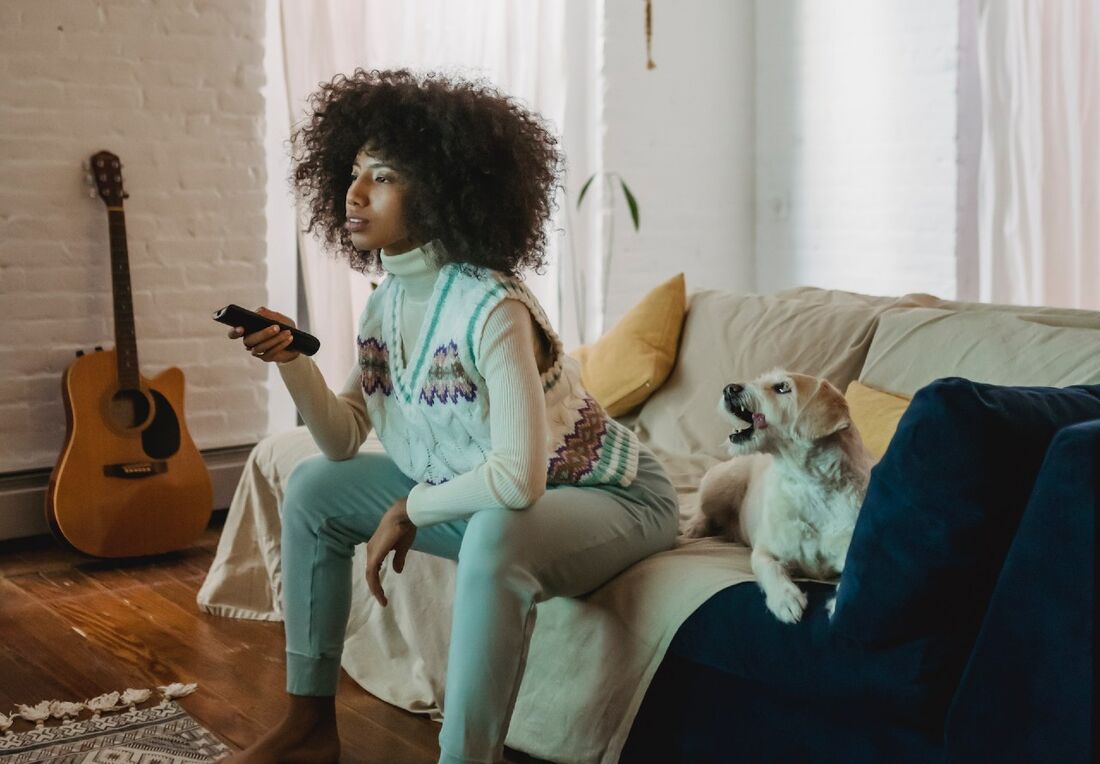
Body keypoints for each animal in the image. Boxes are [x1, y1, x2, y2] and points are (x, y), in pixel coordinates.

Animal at [682, 371, 871, 628]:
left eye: (782, 387)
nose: (729, 388)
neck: (810, 486)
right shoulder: (764, 550)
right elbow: (770, 567)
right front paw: (785, 599)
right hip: (722, 482)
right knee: (703, 509)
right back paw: (694, 527)